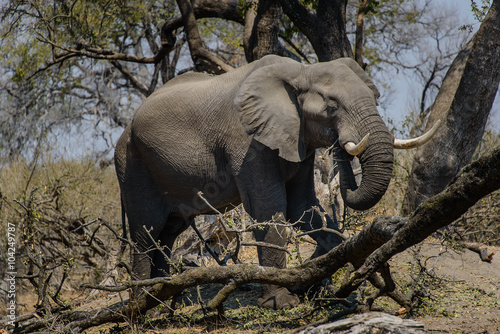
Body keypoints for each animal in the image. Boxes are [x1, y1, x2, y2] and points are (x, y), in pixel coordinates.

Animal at [114, 54, 438, 308]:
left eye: (375, 99)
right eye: (332, 106)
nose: (340, 146)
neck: (302, 71)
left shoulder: (298, 138)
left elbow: (302, 206)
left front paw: (313, 283)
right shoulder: (246, 141)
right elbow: (269, 208)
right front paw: (281, 303)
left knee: (168, 232)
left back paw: (164, 299)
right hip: (132, 164)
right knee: (146, 232)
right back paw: (144, 306)